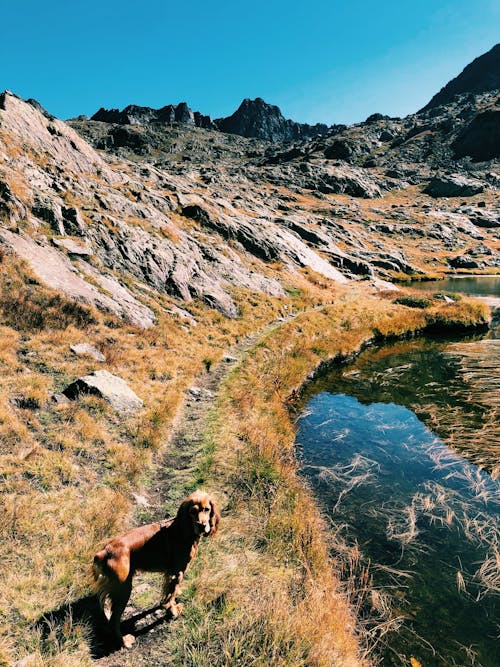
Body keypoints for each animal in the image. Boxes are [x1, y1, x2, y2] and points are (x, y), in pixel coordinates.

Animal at [93, 490, 220, 648]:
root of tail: (105, 551)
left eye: (207, 510)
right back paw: (125, 641)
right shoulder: (176, 573)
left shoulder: (171, 574)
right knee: (113, 621)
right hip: (123, 590)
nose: (202, 525)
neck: (183, 529)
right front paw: (173, 611)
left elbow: (170, 593)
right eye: (192, 511)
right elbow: (170, 597)